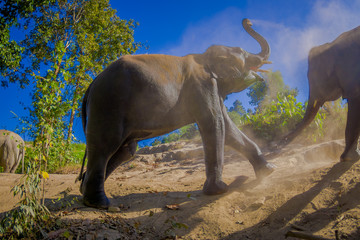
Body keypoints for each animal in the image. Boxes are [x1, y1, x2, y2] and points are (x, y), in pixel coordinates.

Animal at [79, 18, 276, 208]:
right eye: (243, 53)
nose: (248, 21)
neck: (204, 57)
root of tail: (91, 85)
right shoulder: (201, 85)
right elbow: (214, 123)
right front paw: (218, 190)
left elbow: (228, 128)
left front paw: (269, 170)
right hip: (108, 103)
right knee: (105, 146)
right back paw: (99, 203)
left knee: (126, 149)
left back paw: (83, 191)